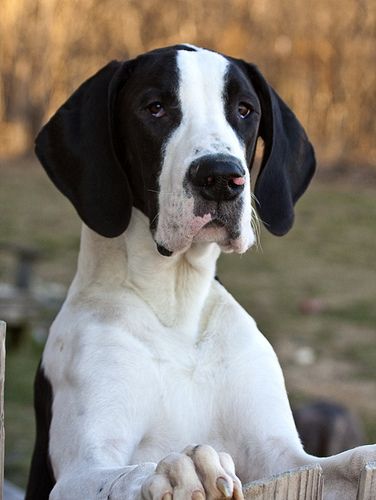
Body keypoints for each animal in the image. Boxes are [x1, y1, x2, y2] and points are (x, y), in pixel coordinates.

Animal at [25, 45, 374, 498]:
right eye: (155, 108)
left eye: (244, 110)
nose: (221, 177)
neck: (176, 305)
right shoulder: (80, 470)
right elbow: (124, 474)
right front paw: (177, 470)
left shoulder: (282, 458)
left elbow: (346, 462)